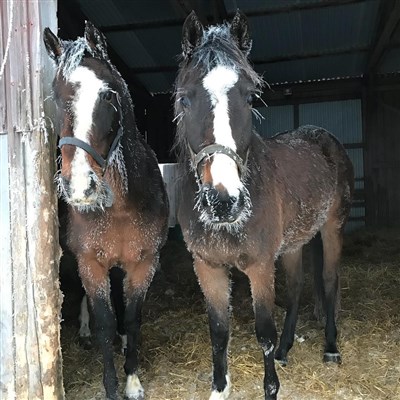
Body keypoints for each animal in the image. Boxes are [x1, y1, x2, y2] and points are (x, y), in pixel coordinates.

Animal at [43, 22, 169, 400]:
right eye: (57, 97)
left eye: (109, 96)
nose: (79, 187)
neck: (120, 208)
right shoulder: (90, 263)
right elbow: (105, 320)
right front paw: (112, 385)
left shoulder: (143, 263)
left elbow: (131, 317)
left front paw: (133, 380)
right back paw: (84, 331)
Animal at [174, 11, 354, 400]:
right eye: (184, 99)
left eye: (250, 97)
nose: (223, 201)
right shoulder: (207, 267)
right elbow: (218, 333)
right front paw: (219, 388)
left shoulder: (259, 266)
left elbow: (263, 334)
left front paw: (271, 389)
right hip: (294, 243)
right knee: (298, 286)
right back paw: (288, 349)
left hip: (333, 227)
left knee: (329, 280)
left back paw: (331, 348)